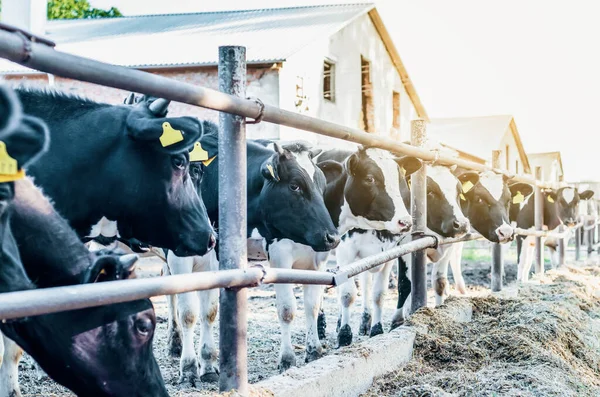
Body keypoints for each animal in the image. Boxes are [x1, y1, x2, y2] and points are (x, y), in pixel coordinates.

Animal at [166, 124, 340, 384]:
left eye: (322, 184)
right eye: (294, 185)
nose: (332, 237)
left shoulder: (314, 261)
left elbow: (311, 305)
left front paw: (314, 350)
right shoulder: (278, 254)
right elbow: (286, 309)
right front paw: (189, 369)